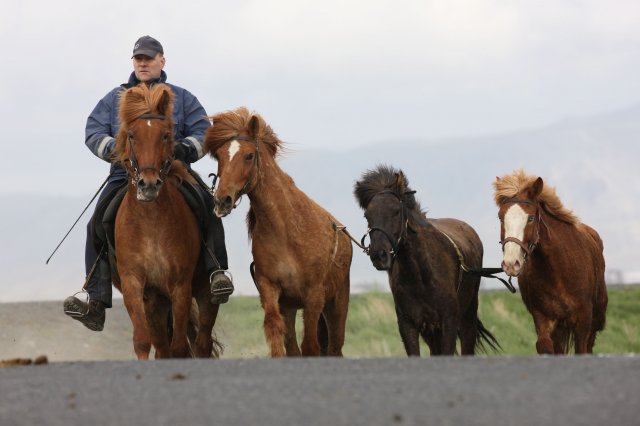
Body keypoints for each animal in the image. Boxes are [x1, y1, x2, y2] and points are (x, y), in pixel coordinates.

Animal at [111, 83, 219, 360]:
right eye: (131, 135)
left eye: (165, 135)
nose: (148, 184)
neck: (151, 223)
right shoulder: (136, 286)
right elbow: (143, 341)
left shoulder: (180, 287)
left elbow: (180, 347)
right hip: (157, 303)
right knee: (161, 346)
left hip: (204, 293)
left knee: (202, 343)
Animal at [205, 106, 352, 356]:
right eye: (220, 155)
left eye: (248, 155)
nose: (221, 200)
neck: (287, 230)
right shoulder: (271, 290)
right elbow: (276, 333)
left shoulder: (314, 296)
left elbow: (311, 345)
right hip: (291, 307)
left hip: (337, 304)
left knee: (334, 347)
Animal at [352, 165, 498, 354]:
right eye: (367, 216)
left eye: (396, 211)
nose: (379, 255)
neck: (421, 276)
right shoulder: (410, 325)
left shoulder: (448, 321)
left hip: (468, 317)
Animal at [492, 170, 608, 352]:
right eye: (501, 218)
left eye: (531, 218)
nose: (511, 264)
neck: (558, 271)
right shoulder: (543, 318)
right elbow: (544, 346)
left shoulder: (583, 320)